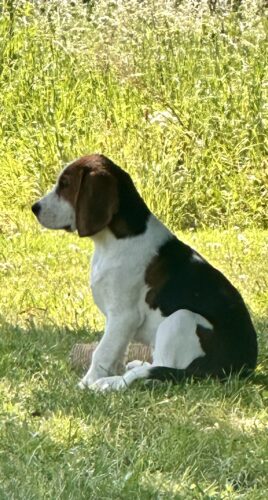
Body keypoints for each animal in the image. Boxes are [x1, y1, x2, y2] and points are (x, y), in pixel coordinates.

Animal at [31, 153, 258, 390]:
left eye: (65, 184)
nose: (34, 207)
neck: (113, 241)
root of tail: (240, 368)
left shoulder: (123, 316)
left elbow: (102, 352)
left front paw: (87, 383)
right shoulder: (118, 323)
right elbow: (116, 352)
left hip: (181, 318)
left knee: (159, 370)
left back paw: (110, 383)